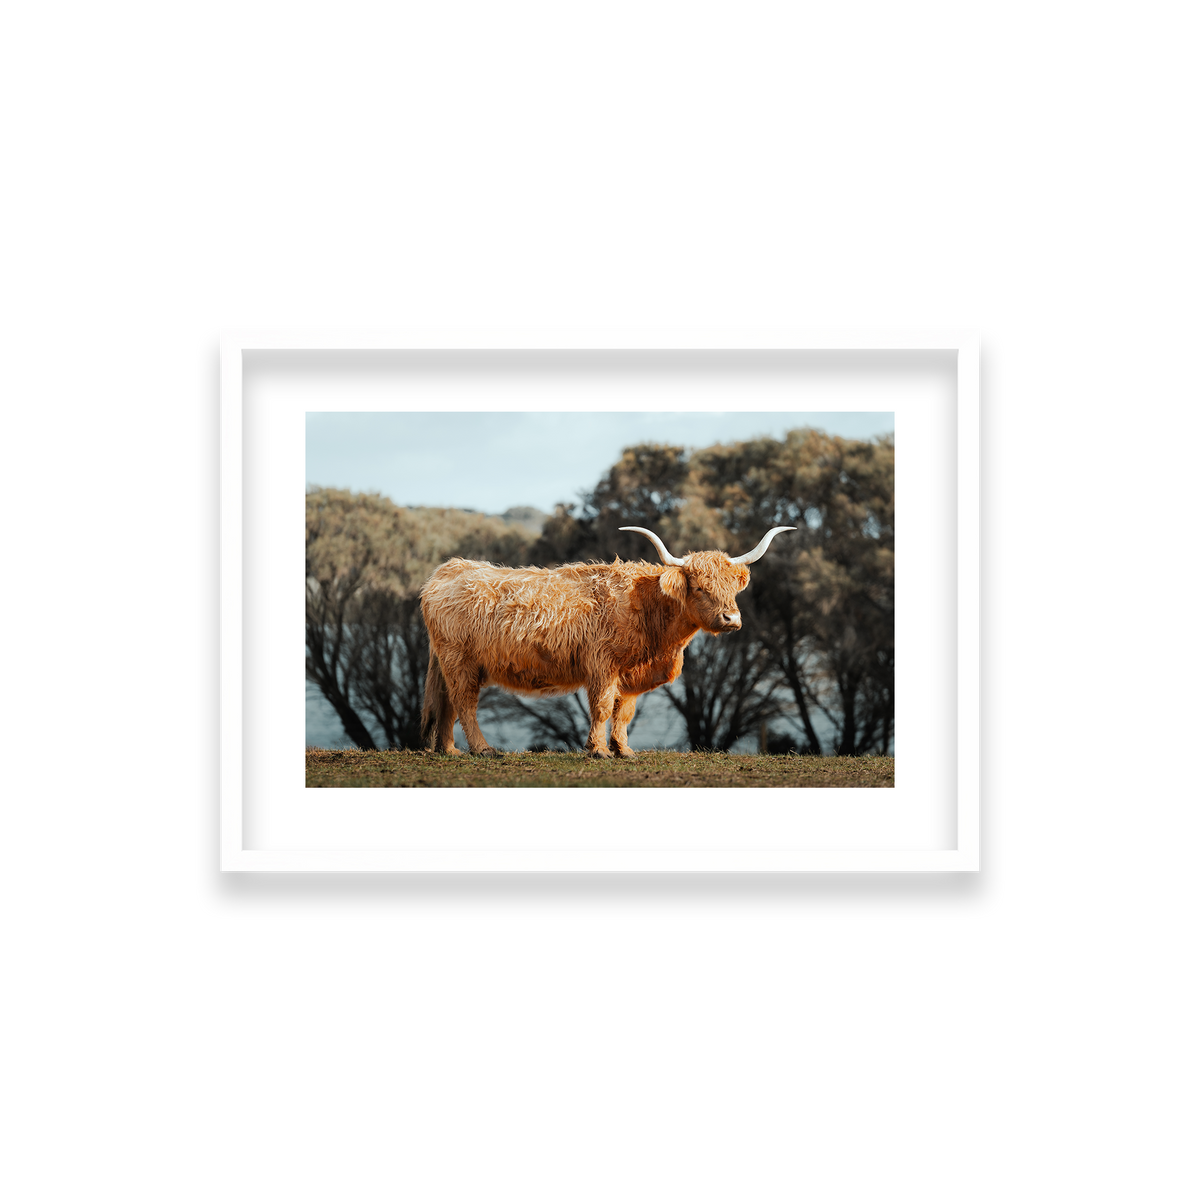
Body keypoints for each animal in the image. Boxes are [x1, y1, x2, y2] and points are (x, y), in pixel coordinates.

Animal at [419, 525, 795, 758]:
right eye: (701, 587)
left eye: (733, 588)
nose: (731, 619)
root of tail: (449, 569)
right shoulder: (602, 665)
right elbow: (601, 707)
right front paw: (598, 750)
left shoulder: (630, 673)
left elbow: (624, 711)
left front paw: (624, 750)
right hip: (460, 660)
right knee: (464, 704)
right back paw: (482, 749)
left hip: (453, 663)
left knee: (448, 703)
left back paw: (450, 749)